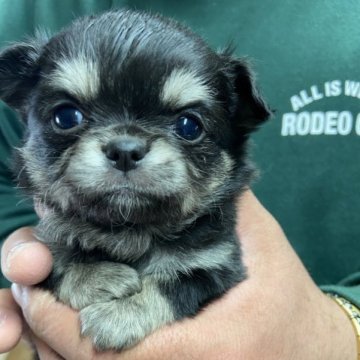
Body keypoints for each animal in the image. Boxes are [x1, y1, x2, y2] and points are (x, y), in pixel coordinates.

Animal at [0, 9, 270, 350]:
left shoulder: (216, 264)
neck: (130, 229)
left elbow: (173, 285)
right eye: (66, 117)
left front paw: (120, 315)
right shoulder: (45, 242)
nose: (125, 150)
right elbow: (58, 261)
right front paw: (95, 276)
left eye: (189, 126)